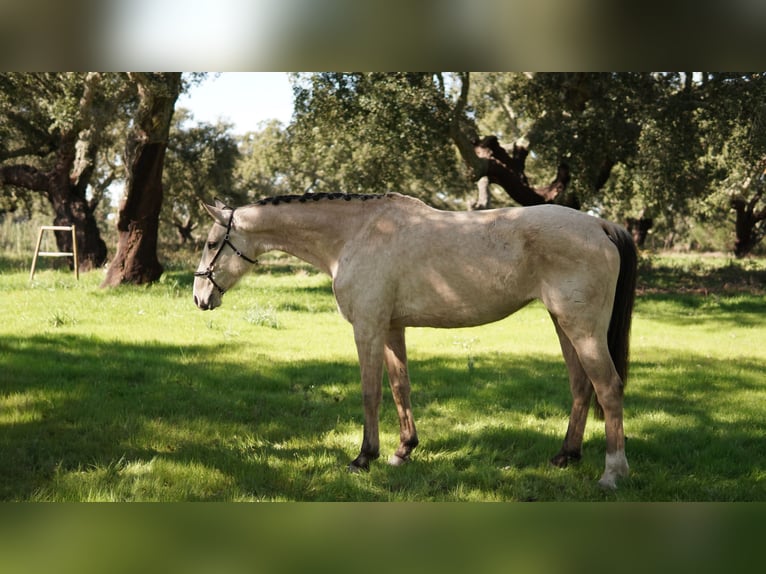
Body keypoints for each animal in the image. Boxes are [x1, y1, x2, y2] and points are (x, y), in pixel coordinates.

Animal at [193, 192, 637, 489]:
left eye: (212, 244)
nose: (200, 298)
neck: (355, 235)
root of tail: (600, 225)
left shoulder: (368, 327)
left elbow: (370, 392)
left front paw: (363, 458)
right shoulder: (392, 328)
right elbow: (399, 387)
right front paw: (402, 451)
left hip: (583, 329)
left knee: (608, 388)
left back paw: (612, 473)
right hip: (564, 325)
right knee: (582, 387)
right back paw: (565, 456)